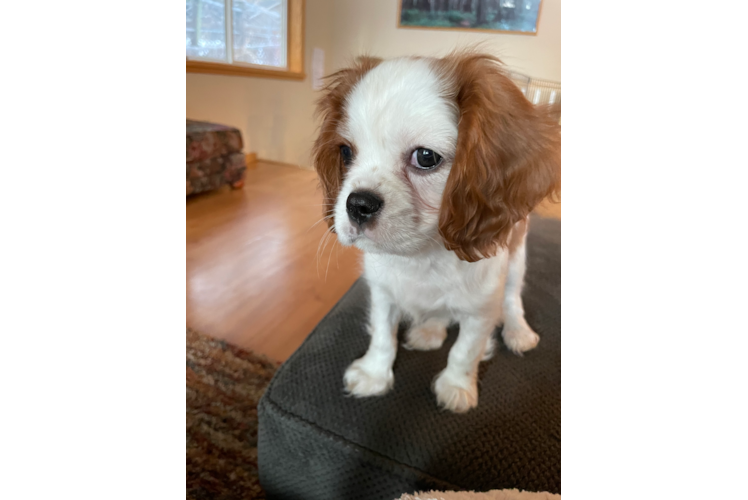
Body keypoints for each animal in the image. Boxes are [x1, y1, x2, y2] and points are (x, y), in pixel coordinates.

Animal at [312, 50, 560, 412]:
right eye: (345, 152)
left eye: (426, 157)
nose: (357, 204)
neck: (422, 254)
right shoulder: (382, 292)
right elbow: (383, 336)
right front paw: (375, 373)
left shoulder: (481, 308)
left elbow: (465, 350)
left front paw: (457, 387)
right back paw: (430, 330)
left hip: (517, 261)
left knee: (513, 299)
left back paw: (518, 332)